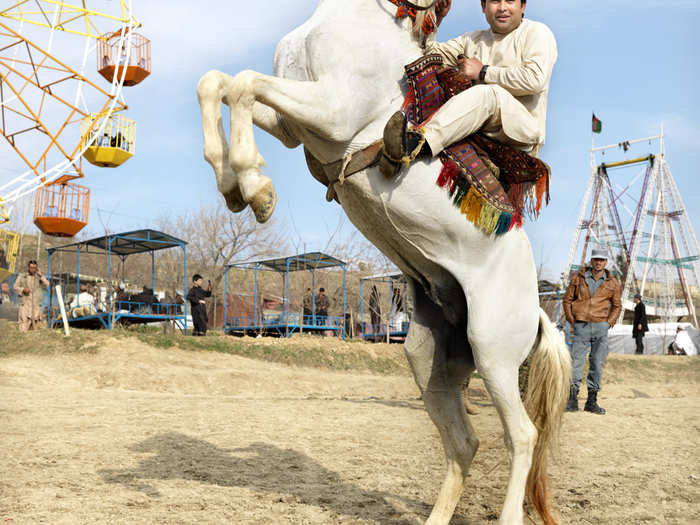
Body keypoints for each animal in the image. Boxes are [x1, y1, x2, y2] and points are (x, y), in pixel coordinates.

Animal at [196, 2, 568, 520]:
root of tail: (538, 313)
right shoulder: (293, 126)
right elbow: (219, 83)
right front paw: (234, 186)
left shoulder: (332, 110)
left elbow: (244, 83)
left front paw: (255, 187)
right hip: (430, 360)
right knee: (464, 443)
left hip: (494, 354)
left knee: (522, 436)